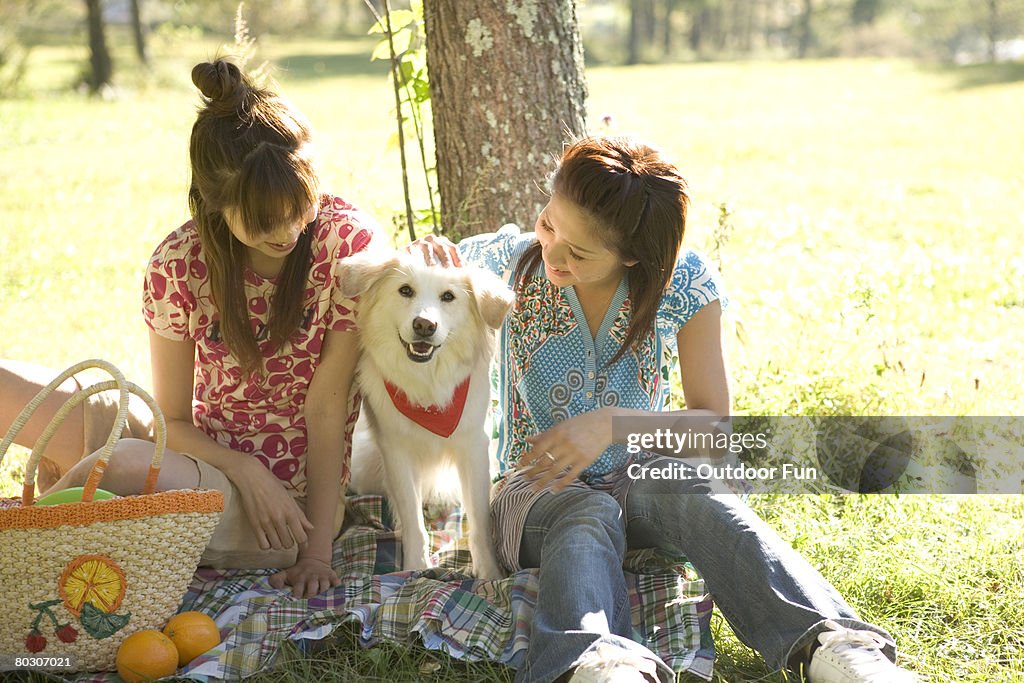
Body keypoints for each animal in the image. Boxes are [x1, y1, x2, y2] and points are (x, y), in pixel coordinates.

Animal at [342, 253, 516, 581]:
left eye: (448, 296)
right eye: (405, 290)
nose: (424, 325)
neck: (427, 387)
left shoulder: (474, 449)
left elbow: (479, 519)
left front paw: (489, 573)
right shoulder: (396, 452)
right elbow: (412, 520)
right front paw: (415, 568)